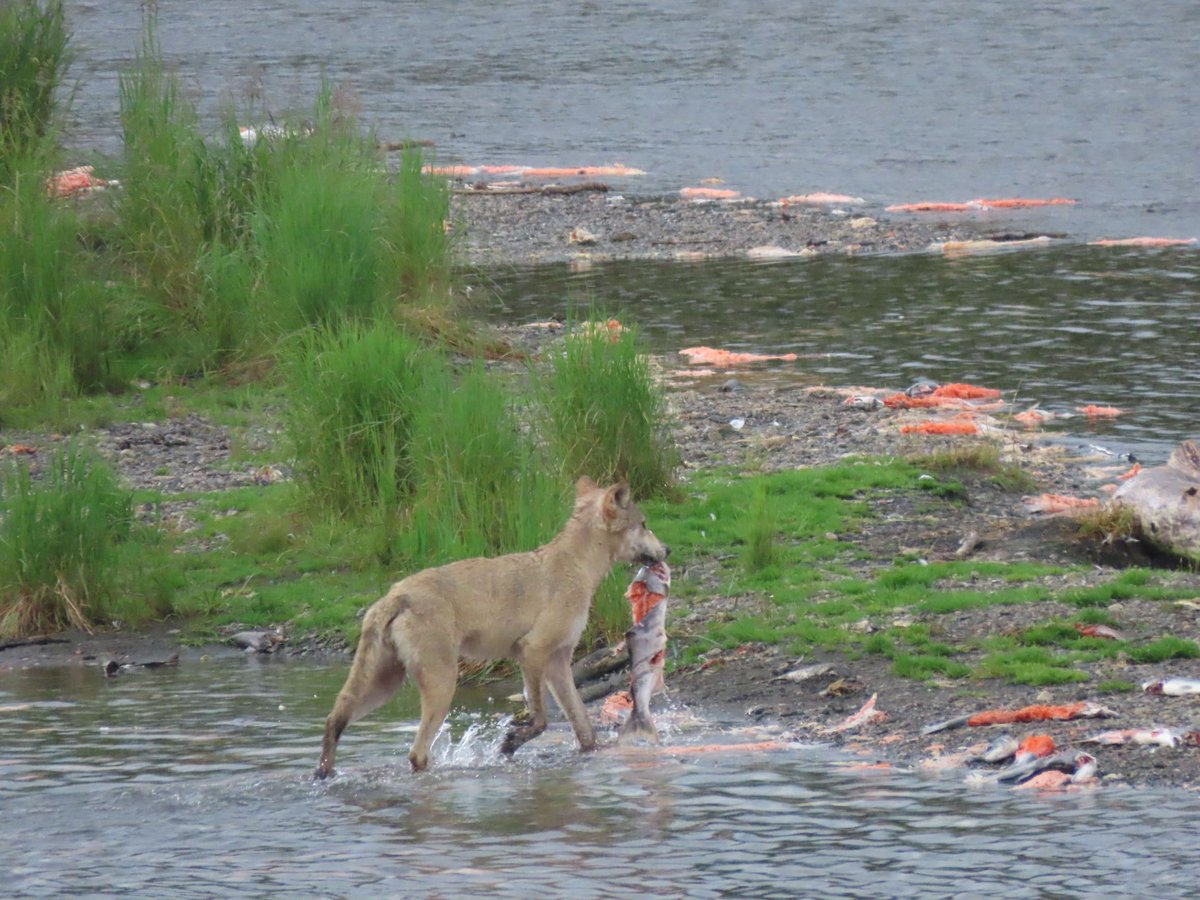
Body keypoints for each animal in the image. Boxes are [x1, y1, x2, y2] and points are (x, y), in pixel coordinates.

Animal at [315, 477, 668, 776]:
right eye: (644, 525)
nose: (668, 550)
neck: (577, 566)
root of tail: (395, 595)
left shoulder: (558, 661)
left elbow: (584, 729)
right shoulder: (532, 652)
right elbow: (540, 720)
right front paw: (509, 745)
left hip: (382, 686)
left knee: (333, 720)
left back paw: (324, 773)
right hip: (441, 684)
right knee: (416, 754)